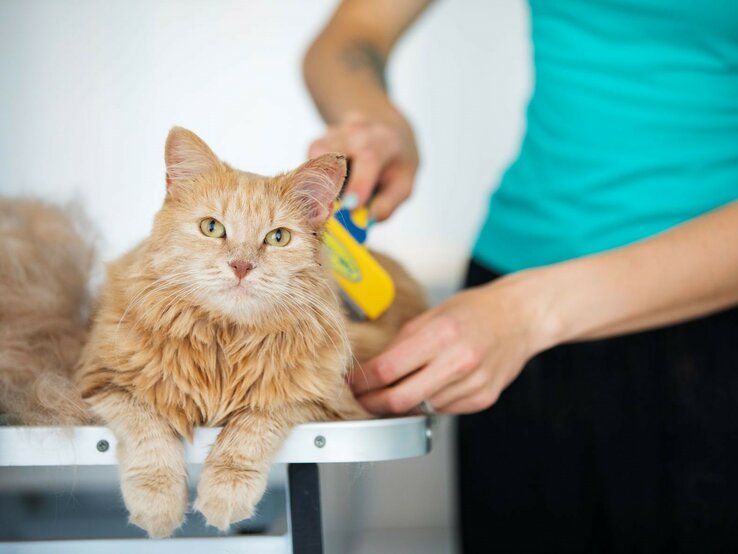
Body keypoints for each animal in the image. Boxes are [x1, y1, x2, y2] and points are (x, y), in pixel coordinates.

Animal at [75, 126, 422, 536]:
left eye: (278, 237)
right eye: (212, 228)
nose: (241, 266)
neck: (225, 342)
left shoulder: (324, 399)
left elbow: (253, 426)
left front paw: (224, 491)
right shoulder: (101, 381)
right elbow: (146, 425)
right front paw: (157, 499)